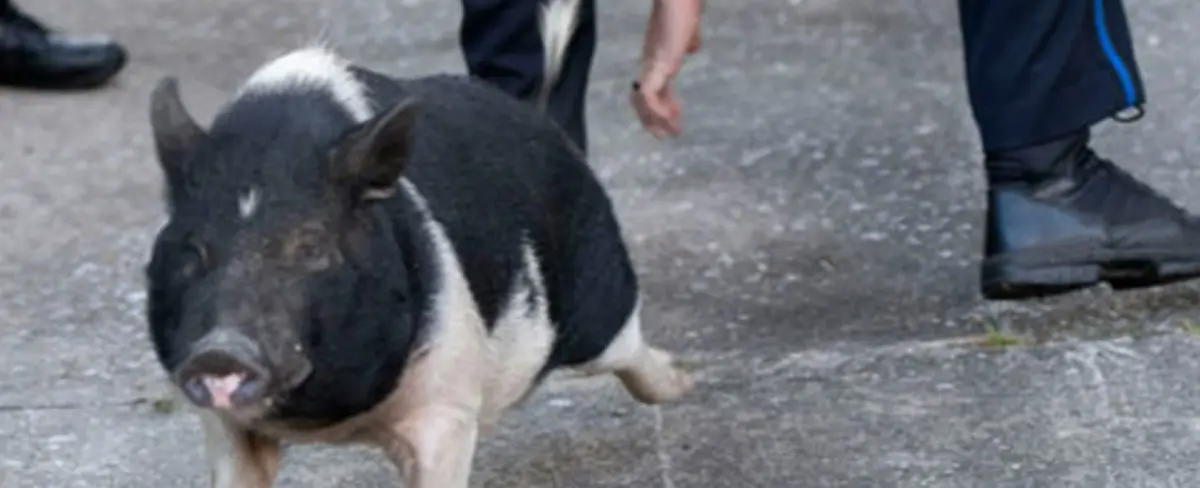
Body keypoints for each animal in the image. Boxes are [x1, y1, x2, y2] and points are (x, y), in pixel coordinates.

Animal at [142, 0, 693, 486]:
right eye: (192, 251)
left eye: (312, 245)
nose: (220, 350)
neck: (333, 421)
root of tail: (545, 121)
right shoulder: (226, 426)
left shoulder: (445, 405)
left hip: (599, 300)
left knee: (627, 348)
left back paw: (686, 380)